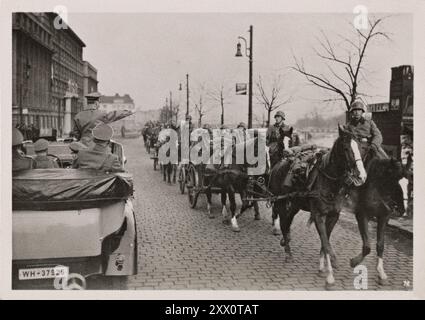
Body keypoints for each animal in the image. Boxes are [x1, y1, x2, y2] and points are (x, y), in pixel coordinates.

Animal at [268, 124, 364, 288]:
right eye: (346, 148)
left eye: (359, 146)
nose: (361, 175)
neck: (328, 181)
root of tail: (278, 165)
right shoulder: (319, 215)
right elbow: (325, 241)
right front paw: (330, 274)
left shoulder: (333, 216)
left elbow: (326, 240)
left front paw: (322, 266)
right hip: (280, 202)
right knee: (283, 222)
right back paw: (287, 251)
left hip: (294, 205)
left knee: (287, 222)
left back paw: (286, 242)